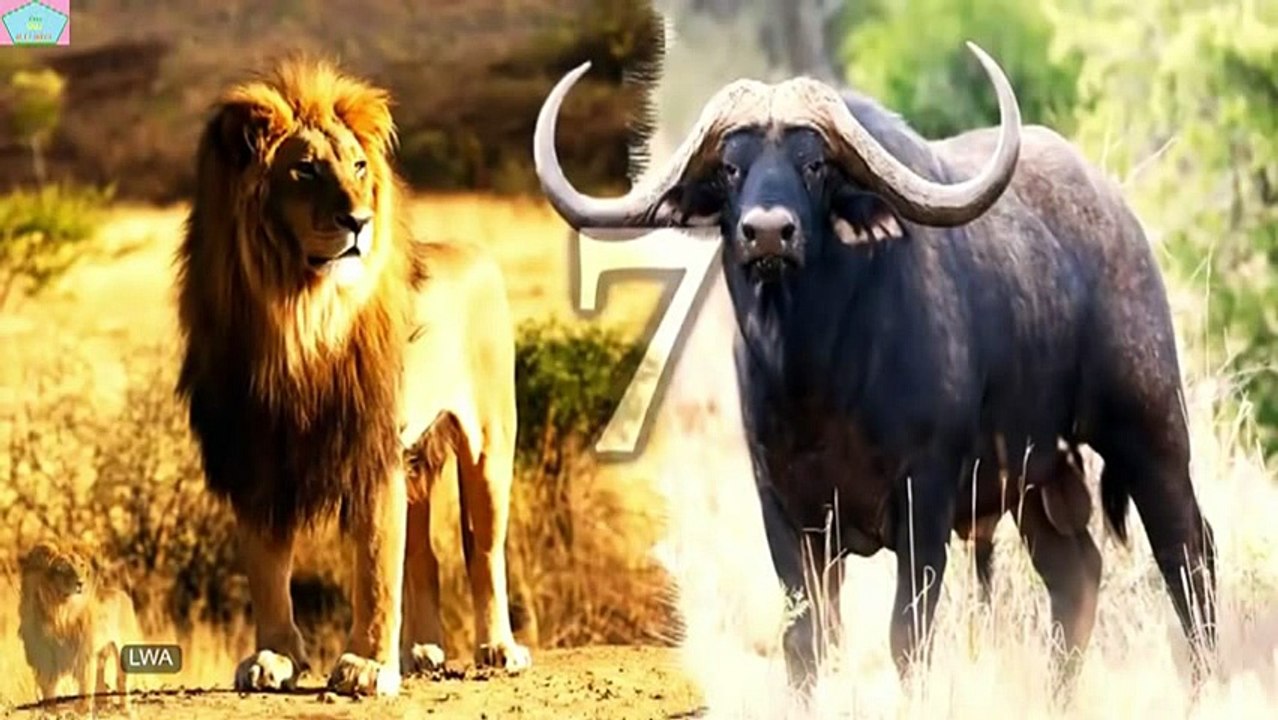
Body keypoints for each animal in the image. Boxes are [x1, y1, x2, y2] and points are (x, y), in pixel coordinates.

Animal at [17, 540, 141, 712]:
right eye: (62, 569)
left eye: (81, 565)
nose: (80, 583)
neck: (60, 612)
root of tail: (123, 594)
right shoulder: (45, 658)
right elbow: (49, 692)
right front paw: (51, 711)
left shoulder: (84, 654)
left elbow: (85, 690)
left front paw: (82, 712)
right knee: (101, 678)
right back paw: (102, 705)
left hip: (123, 648)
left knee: (121, 679)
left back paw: (124, 709)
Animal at [173, 56, 531, 697]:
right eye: (306, 169)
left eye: (359, 167)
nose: (359, 221)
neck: (297, 317)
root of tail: (475, 252)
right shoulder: (256, 454)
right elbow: (267, 568)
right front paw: (273, 657)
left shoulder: (371, 451)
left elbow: (375, 566)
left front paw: (365, 666)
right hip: (417, 460)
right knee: (425, 557)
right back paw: (422, 652)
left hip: (489, 444)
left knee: (484, 550)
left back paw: (498, 648)